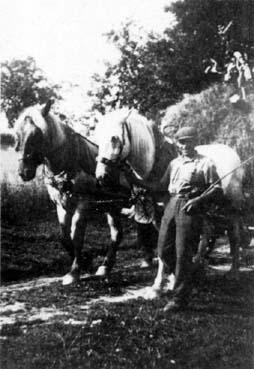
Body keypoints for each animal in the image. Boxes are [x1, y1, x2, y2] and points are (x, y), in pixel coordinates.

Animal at [10, 100, 132, 284]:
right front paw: (86, 262)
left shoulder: (83, 203)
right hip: (113, 206)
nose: (24, 172)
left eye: (37, 135)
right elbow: (64, 236)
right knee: (117, 233)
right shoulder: (61, 204)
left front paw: (74, 272)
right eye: (17, 135)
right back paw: (106, 267)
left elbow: (77, 235)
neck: (69, 162)